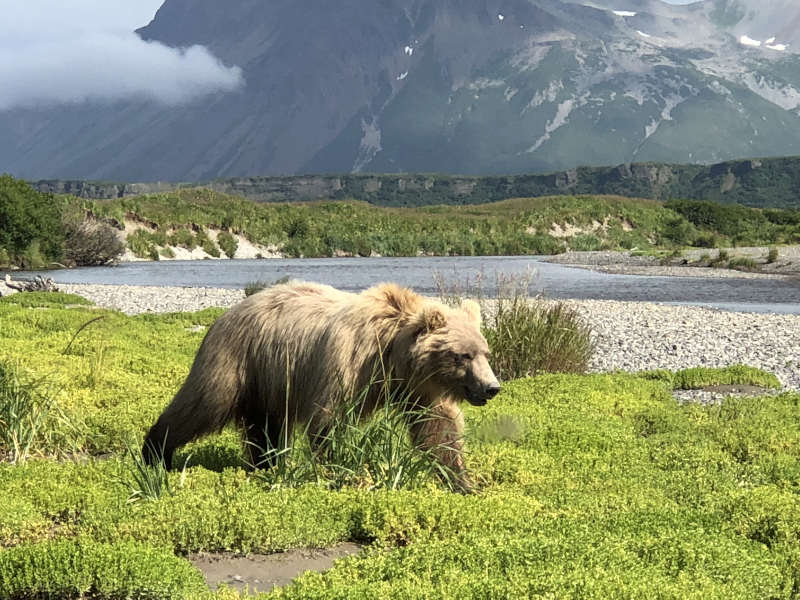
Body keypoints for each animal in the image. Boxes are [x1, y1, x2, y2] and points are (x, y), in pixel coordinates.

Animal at [142, 280, 500, 492]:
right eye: (463, 355)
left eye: (485, 352)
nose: (491, 387)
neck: (391, 354)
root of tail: (227, 313)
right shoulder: (348, 364)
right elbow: (330, 420)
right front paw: (338, 470)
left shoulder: (418, 387)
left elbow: (437, 427)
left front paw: (461, 480)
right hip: (236, 359)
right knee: (203, 403)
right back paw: (156, 451)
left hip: (270, 379)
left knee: (266, 426)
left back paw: (266, 464)